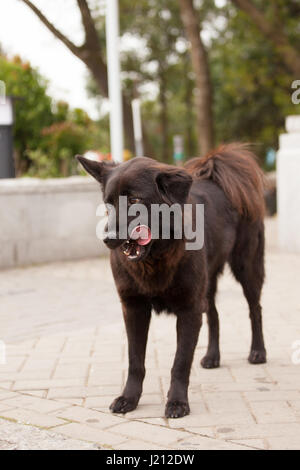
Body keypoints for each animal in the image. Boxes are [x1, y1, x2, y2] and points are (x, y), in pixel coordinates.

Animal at [78, 144, 268, 418]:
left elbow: (180, 362)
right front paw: (129, 398)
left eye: (135, 200)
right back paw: (213, 356)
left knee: (255, 310)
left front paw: (177, 402)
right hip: (207, 285)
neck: (155, 258)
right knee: (214, 314)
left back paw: (258, 351)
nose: (108, 239)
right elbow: (135, 361)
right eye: (109, 203)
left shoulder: (189, 309)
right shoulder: (134, 308)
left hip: (247, 268)